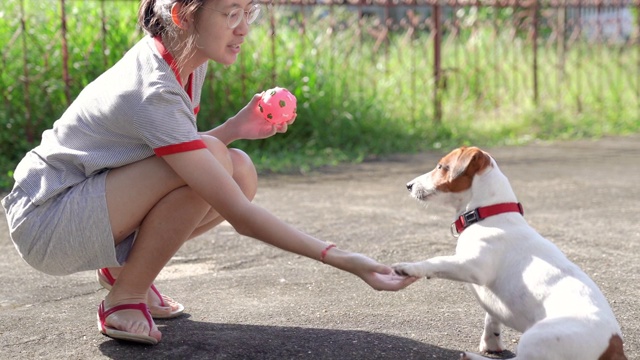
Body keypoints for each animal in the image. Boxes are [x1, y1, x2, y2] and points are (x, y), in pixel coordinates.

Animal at [392, 146, 628, 360]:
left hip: (536, 338)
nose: (408, 185)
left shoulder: (473, 267)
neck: (488, 215)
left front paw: (409, 267)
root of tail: (614, 348)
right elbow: (491, 318)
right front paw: (491, 342)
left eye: (441, 166)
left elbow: (437, 261)